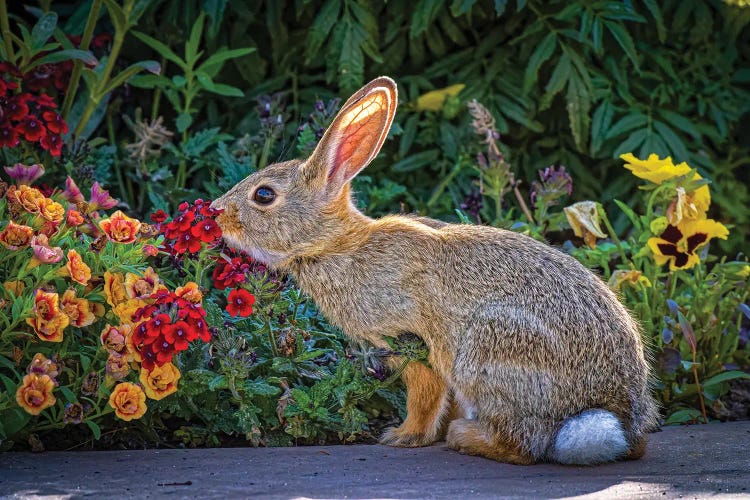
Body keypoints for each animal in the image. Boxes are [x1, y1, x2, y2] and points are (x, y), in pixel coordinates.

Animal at [212, 75, 656, 464]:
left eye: (264, 195)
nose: (217, 212)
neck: (334, 245)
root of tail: (616, 417)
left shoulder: (409, 339)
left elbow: (424, 394)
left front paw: (403, 436)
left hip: (489, 352)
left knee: (523, 445)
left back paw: (465, 437)